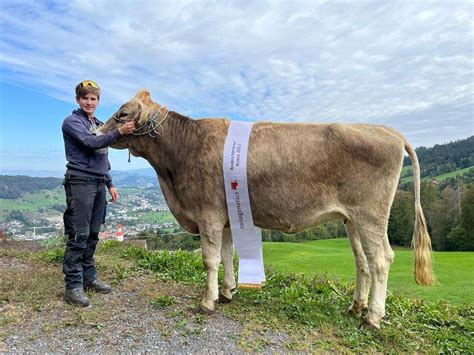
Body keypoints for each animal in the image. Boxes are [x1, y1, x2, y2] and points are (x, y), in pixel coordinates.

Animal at [100, 90, 434, 330]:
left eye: (122, 114)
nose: (98, 130)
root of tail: (387, 130)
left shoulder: (207, 213)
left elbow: (209, 260)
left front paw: (207, 301)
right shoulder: (224, 217)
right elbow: (227, 255)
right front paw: (227, 293)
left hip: (371, 215)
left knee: (381, 260)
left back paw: (372, 317)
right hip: (352, 220)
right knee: (362, 261)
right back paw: (355, 308)